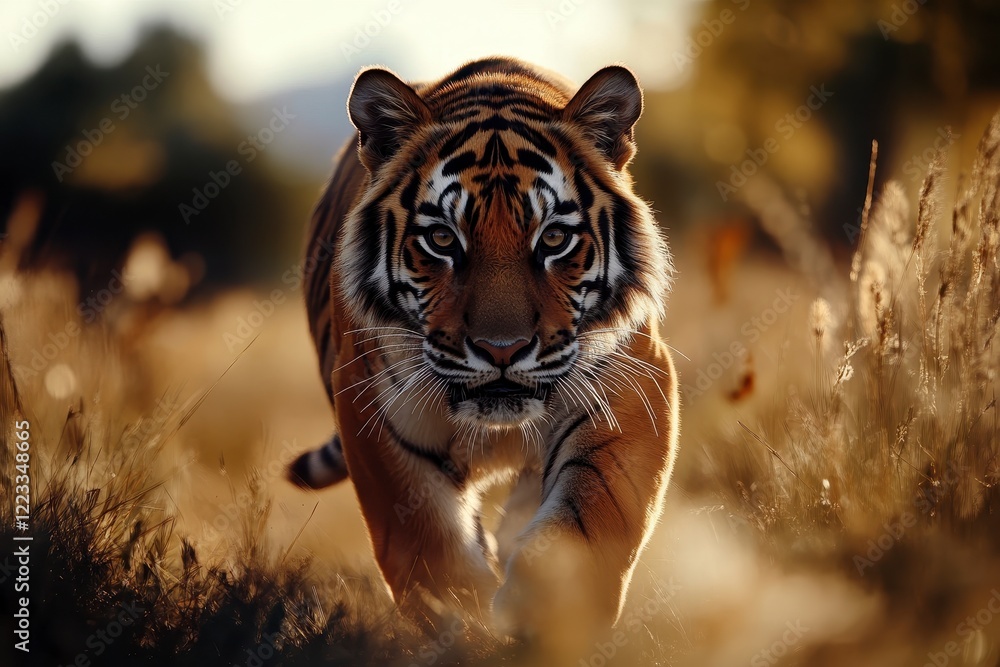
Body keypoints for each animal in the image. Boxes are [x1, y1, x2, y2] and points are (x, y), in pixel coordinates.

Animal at [288, 56, 679, 645]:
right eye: (443, 241)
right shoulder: (369, 404)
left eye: (554, 239)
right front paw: (464, 622)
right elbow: (425, 541)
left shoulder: (633, 382)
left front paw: (547, 613)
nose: (503, 349)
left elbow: (590, 519)